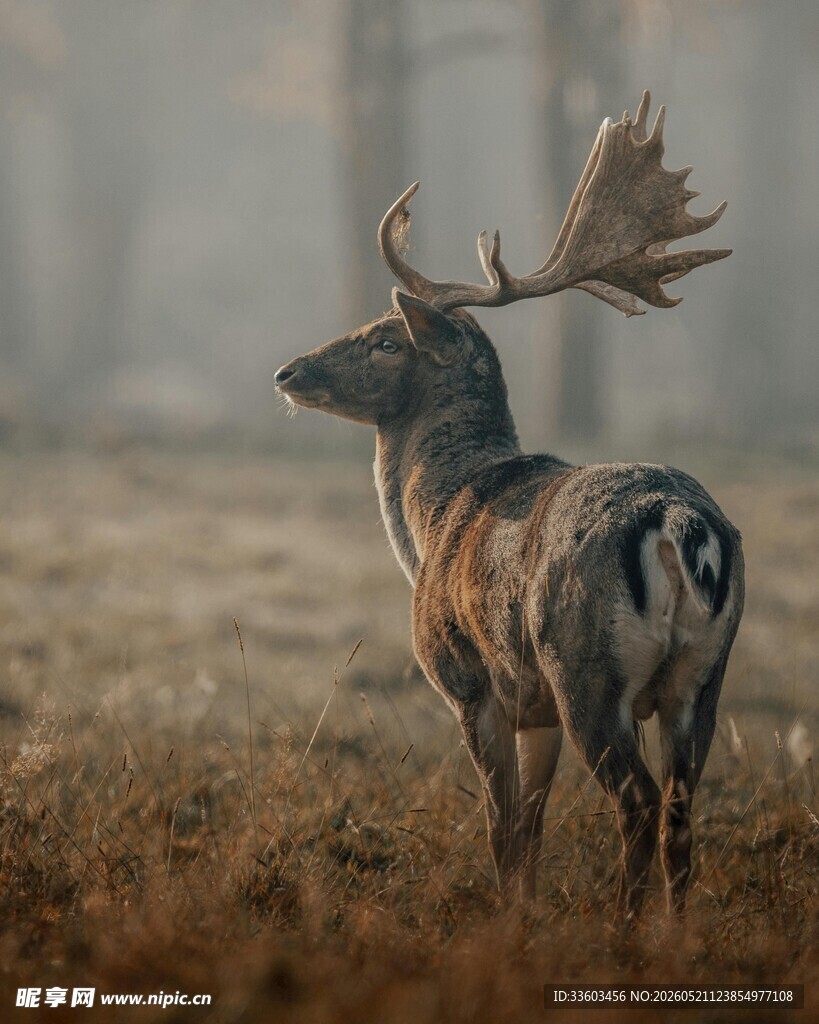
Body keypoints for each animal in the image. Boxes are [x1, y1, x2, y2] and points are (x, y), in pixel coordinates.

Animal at [274, 93, 744, 918]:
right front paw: (522, 915)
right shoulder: (535, 709)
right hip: (701, 677)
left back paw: (621, 933)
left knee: (636, 802)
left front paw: (506, 925)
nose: (289, 371)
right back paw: (672, 935)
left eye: (386, 340)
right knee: (682, 813)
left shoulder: (471, 682)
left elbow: (499, 828)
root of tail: (680, 524)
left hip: (585, 668)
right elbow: (529, 826)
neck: (433, 521)